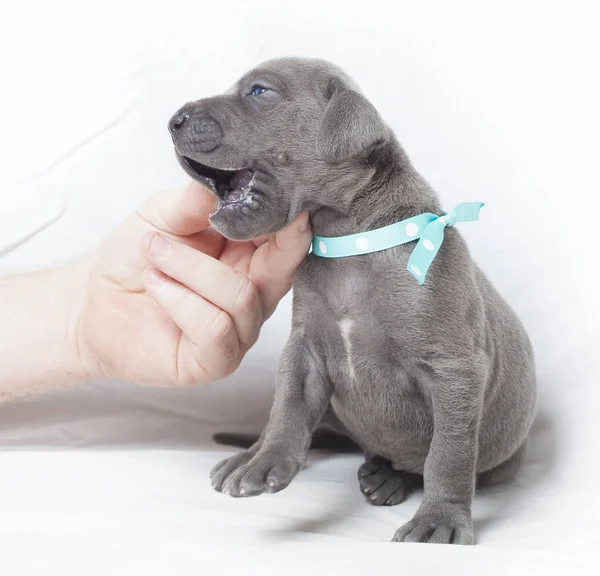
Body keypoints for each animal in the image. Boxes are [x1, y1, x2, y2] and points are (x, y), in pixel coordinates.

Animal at [168, 57, 536, 544]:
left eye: (260, 92)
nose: (173, 120)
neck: (351, 243)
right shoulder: (305, 349)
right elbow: (287, 407)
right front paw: (266, 462)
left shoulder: (455, 368)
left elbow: (449, 452)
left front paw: (440, 519)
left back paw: (389, 477)